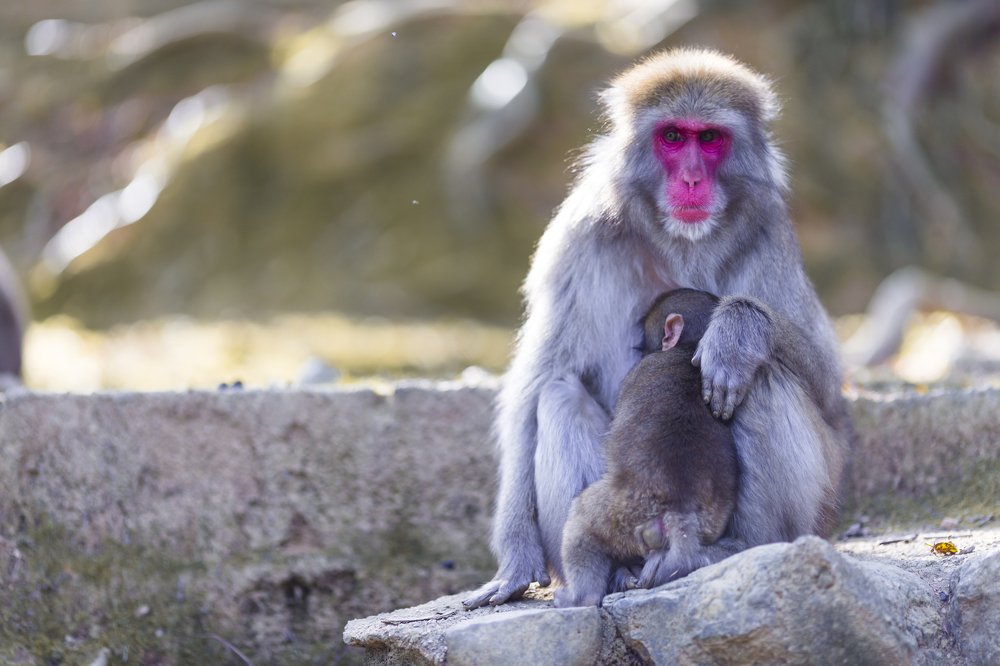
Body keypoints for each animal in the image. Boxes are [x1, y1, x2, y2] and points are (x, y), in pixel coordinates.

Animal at [555, 288, 738, 607]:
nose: (640, 349)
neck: (689, 348)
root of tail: (680, 512)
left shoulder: (635, 374)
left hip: (620, 514)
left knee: (581, 521)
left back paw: (579, 596)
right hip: (709, 523)